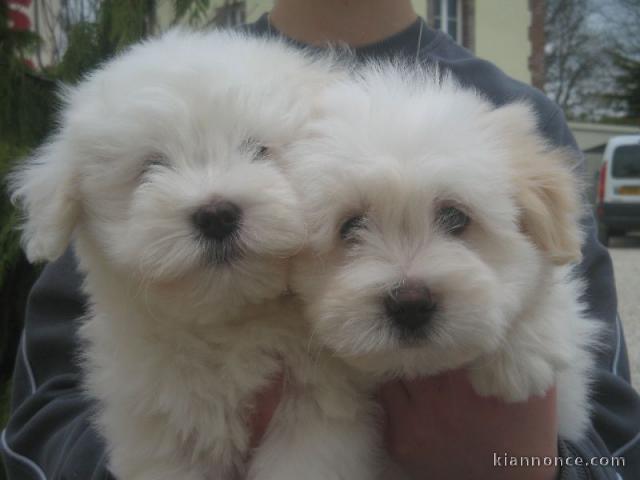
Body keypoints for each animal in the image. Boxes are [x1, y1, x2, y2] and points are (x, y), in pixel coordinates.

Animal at [10, 30, 380, 480]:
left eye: (258, 150)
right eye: (151, 167)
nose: (217, 215)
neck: (228, 323)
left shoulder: (315, 412)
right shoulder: (162, 432)